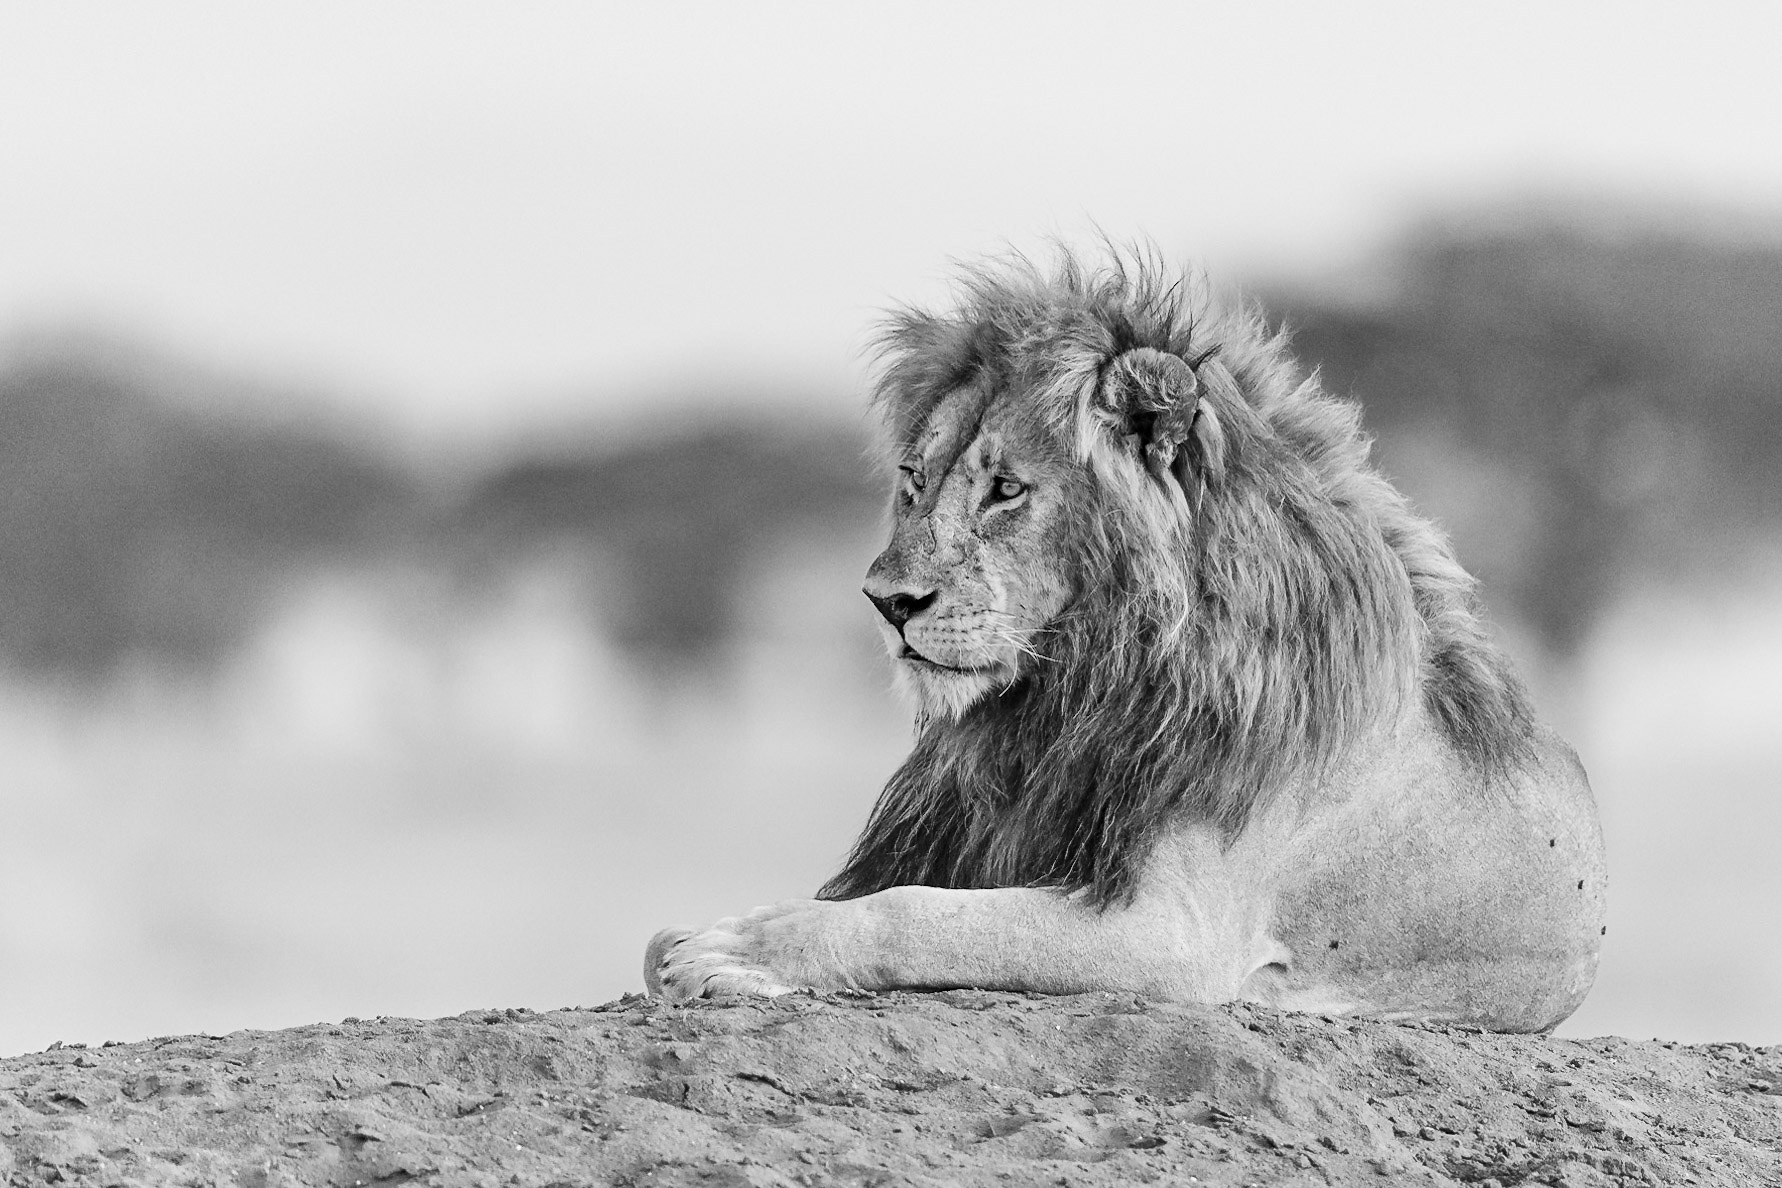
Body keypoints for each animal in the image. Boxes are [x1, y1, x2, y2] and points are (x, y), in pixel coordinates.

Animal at [645, 248, 1606, 1033]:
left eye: (1006, 489)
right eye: (914, 479)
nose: (887, 603)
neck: (1073, 688)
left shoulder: (1179, 935)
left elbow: (918, 913)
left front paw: (743, 947)